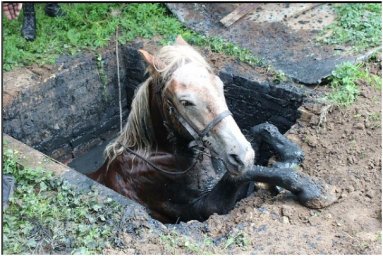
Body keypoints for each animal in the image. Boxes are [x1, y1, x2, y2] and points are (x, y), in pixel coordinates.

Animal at [88, 35, 338, 223]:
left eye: (219, 85)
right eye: (185, 102)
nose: (241, 155)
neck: (160, 156)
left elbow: (262, 131)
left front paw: (286, 156)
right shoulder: (203, 209)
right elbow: (245, 173)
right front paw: (313, 189)